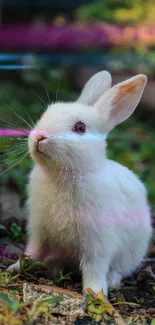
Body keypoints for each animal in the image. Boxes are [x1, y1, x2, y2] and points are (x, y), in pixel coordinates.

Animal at [7, 71, 151, 296]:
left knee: (119, 268)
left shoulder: (97, 241)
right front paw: (15, 267)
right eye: (47, 112)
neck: (64, 174)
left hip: (133, 251)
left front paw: (95, 293)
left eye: (80, 128)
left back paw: (112, 281)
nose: (39, 137)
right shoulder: (39, 230)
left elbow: (94, 267)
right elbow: (33, 250)